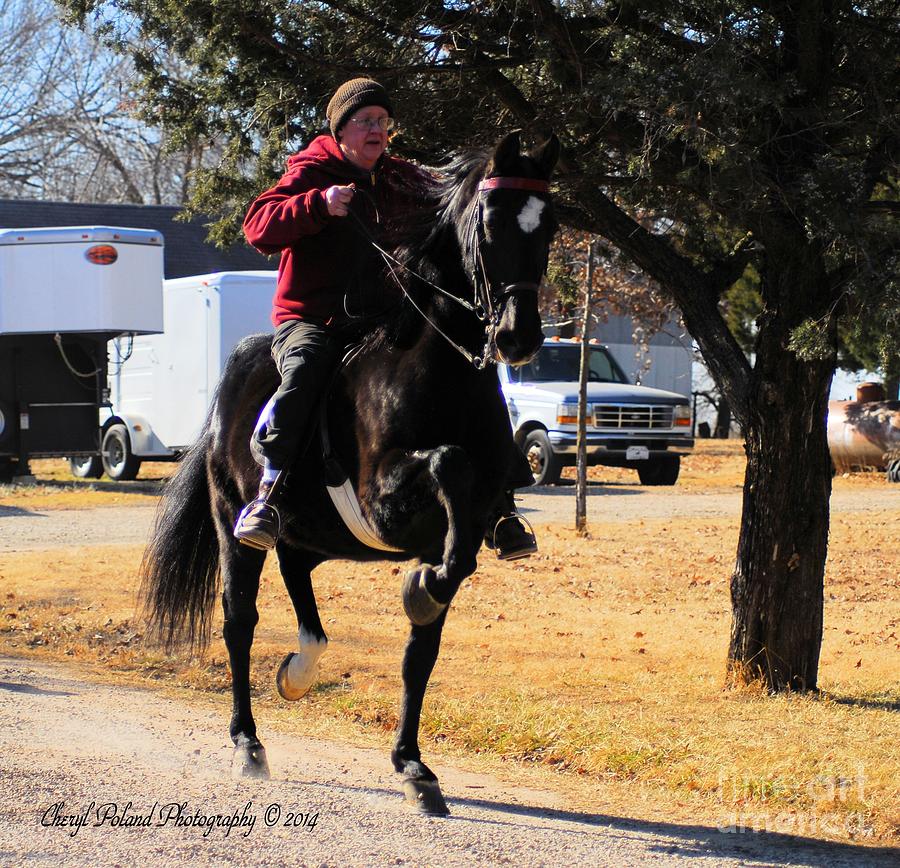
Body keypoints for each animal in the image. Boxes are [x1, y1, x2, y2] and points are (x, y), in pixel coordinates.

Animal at [142, 131, 560, 812]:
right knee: (239, 622)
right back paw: (248, 743)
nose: (518, 337)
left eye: (548, 226)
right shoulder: (385, 502)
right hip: (235, 526)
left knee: (299, 582)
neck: (440, 369)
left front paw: (413, 766)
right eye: (491, 222)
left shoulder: (449, 530)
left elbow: (425, 642)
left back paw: (299, 672)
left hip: (309, 534)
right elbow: (447, 463)